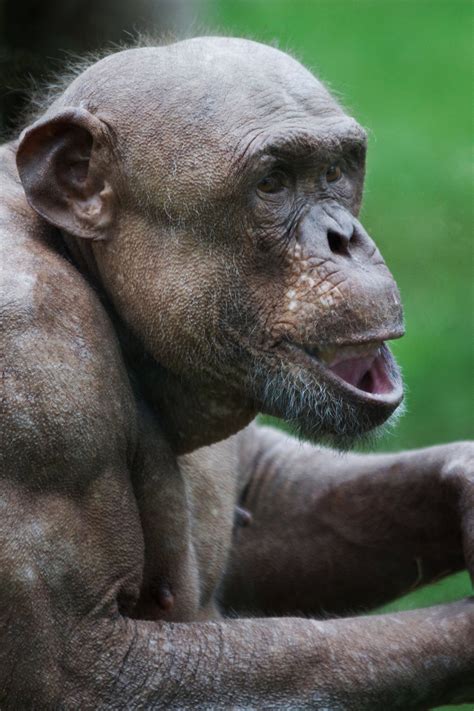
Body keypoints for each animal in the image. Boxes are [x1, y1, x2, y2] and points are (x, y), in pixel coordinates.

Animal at [1, 36, 473, 709]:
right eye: (272, 182)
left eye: (335, 172)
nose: (346, 239)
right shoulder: (35, 375)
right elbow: (79, 665)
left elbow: (266, 492)